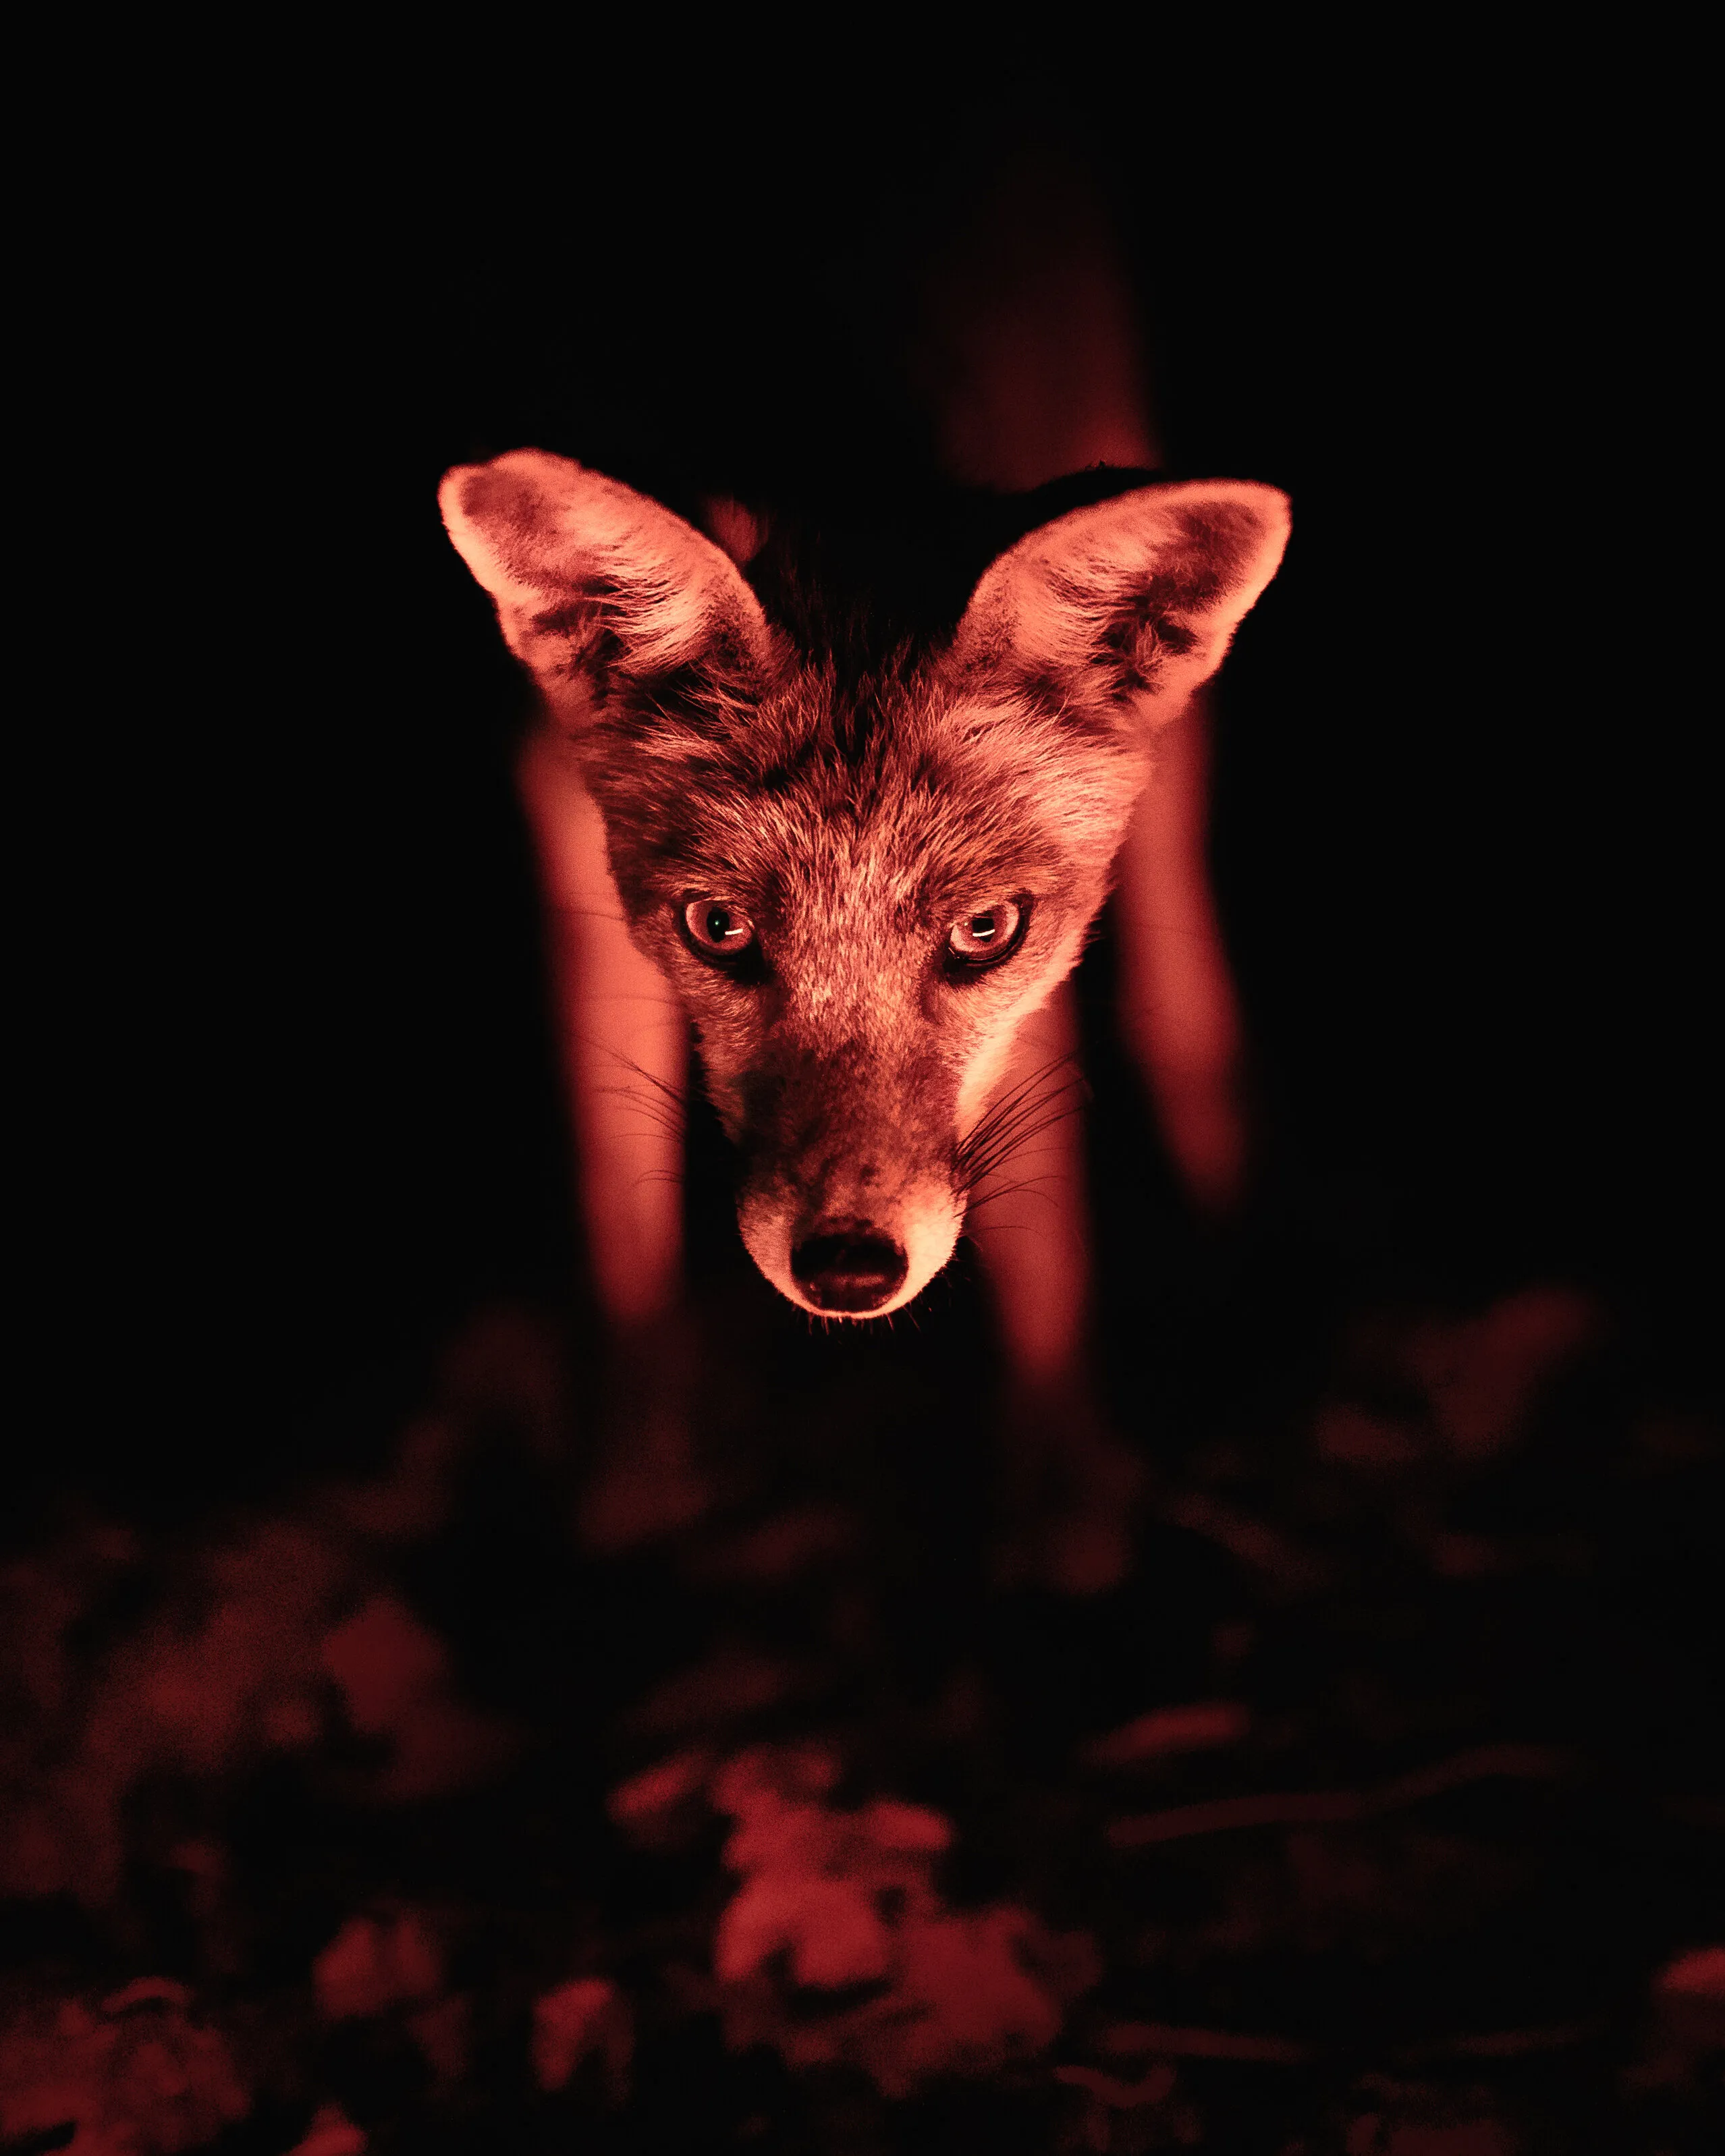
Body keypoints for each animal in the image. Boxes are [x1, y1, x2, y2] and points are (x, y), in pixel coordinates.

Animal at [439, 167, 1289, 1586]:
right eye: (719, 928)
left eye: (984, 931)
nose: (847, 1268)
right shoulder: (557, 819)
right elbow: (617, 1211)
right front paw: (626, 1494)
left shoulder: (1037, 972)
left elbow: (1046, 1215)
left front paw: (1064, 1509)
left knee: (1187, 1000)